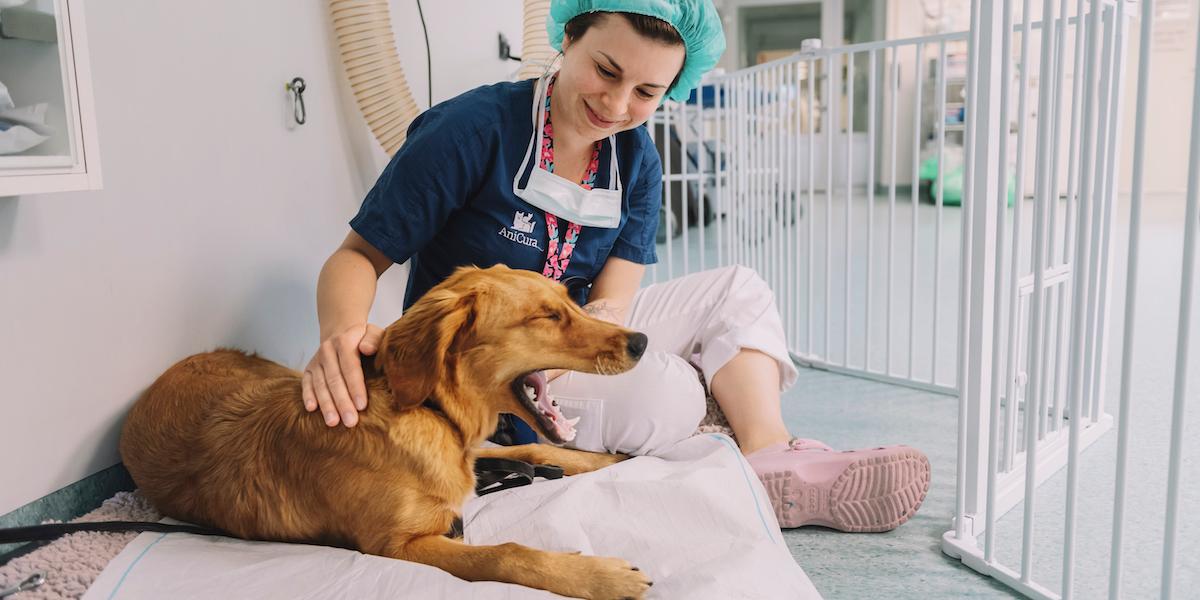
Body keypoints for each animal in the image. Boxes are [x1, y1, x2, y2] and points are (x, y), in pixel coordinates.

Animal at [117, 267, 652, 600]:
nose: (642, 342)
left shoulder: (467, 455)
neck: (432, 412)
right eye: (547, 316)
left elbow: (532, 444)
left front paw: (606, 461)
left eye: (569, 302)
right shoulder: (398, 546)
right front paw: (598, 575)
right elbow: (504, 554)